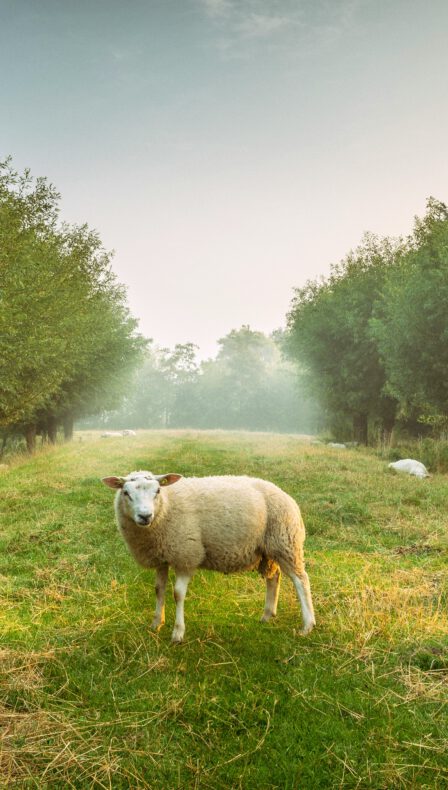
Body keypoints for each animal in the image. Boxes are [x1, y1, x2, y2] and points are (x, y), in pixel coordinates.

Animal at [101, 470, 316, 644]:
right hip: (267, 550)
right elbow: (159, 590)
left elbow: (177, 594)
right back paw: (267, 615)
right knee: (274, 577)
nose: (145, 516)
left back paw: (307, 625)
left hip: (285, 541)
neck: (166, 507)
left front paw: (178, 633)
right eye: (126, 493)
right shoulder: (162, 557)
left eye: (158, 491)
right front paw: (156, 623)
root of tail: (284, 494)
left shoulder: (186, 555)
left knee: (301, 580)